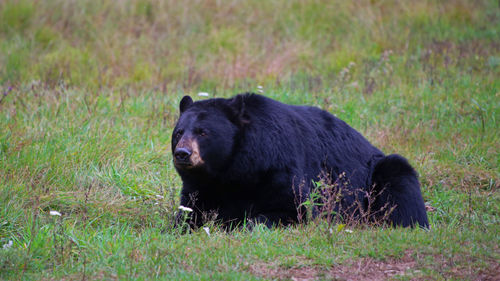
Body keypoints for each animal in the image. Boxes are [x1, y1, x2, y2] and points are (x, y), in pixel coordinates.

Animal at [173, 93, 430, 229]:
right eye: (178, 132)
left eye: (203, 132)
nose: (182, 153)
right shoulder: (202, 184)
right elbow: (190, 210)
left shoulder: (278, 166)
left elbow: (294, 208)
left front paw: (241, 223)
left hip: (378, 174)